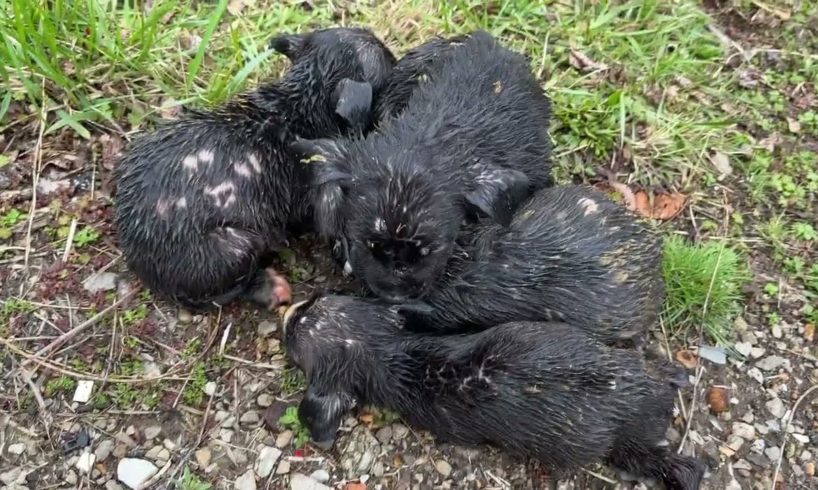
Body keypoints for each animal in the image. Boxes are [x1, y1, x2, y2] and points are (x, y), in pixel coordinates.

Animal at [114, 27, 396, 310]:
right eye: (385, 56)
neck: (300, 101)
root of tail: (143, 266)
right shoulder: (322, 192)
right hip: (239, 244)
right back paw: (270, 287)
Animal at [278, 294, 700, 490]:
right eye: (313, 302)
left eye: (296, 330)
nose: (288, 311)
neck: (388, 352)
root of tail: (651, 398)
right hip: (625, 359)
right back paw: (673, 372)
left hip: (628, 447)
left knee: (665, 461)